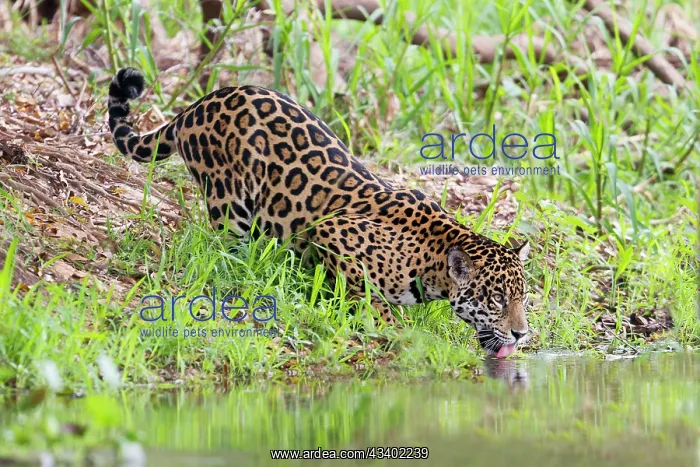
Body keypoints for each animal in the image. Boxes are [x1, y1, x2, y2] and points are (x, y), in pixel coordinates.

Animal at [107, 67, 532, 358]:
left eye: (523, 297)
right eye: (496, 299)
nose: (521, 334)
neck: (431, 260)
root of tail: (198, 104)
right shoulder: (334, 233)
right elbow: (372, 298)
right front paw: (394, 329)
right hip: (229, 202)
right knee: (225, 249)